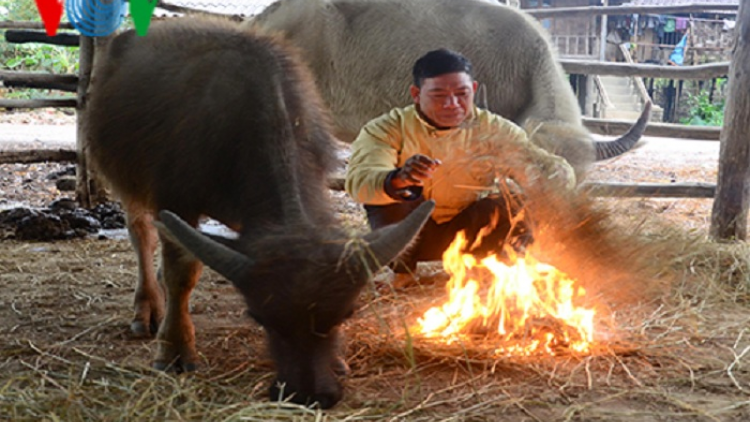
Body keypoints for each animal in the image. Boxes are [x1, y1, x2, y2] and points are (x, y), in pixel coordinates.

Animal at [86, 17, 434, 408]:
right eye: (259, 317)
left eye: (347, 314)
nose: (310, 394)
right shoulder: (175, 199)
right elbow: (181, 274)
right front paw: (174, 349)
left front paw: (338, 361)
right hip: (124, 178)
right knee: (141, 234)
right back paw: (147, 307)